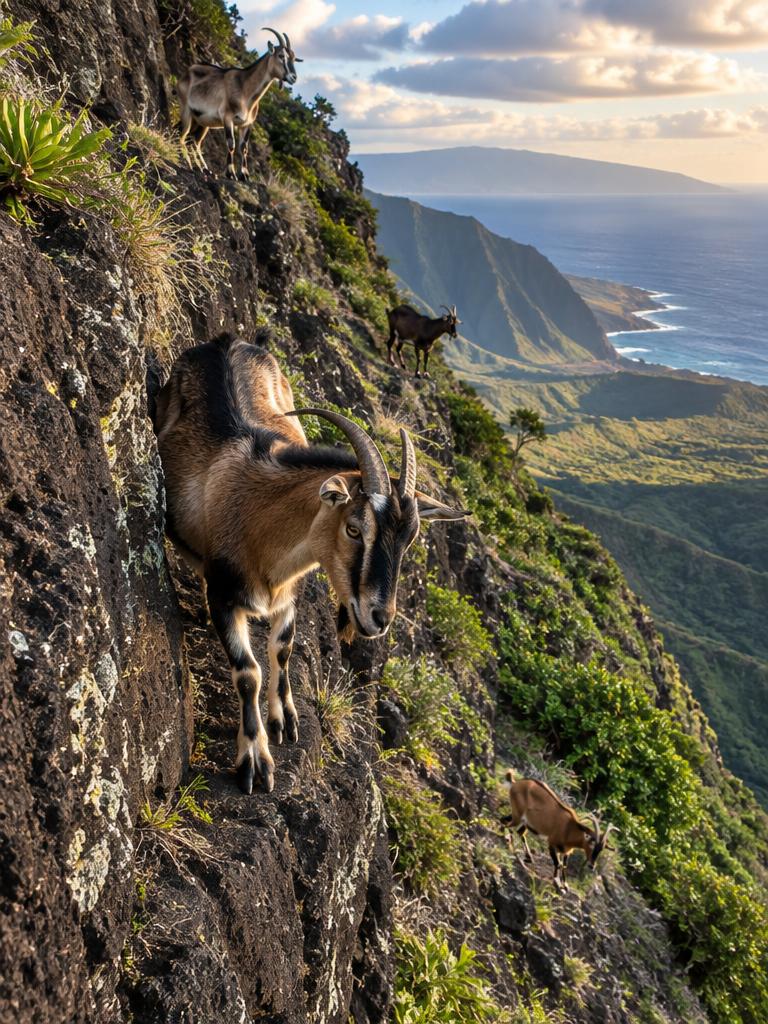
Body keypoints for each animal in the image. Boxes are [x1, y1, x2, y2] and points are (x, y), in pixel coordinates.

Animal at [154, 335, 468, 794]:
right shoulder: (225, 596)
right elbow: (248, 672)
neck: (258, 522)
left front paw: (285, 717)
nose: (379, 617)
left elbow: (282, 648)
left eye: (409, 539)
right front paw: (255, 760)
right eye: (354, 529)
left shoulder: (289, 593)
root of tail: (226, 340)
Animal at [178, 27, 302, 180]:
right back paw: (189, 165)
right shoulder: (227, 118)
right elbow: (231, 143)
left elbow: (244, 147)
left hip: (202, 121)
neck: (244, 89)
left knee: (195, 142)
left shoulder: (246, 123)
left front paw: (244, 175)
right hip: (186, 111)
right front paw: (231, 173)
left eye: (294, 58)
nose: (293, 77)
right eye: (281, 56)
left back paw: (204, 169)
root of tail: (186, 73)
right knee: (182, 136)